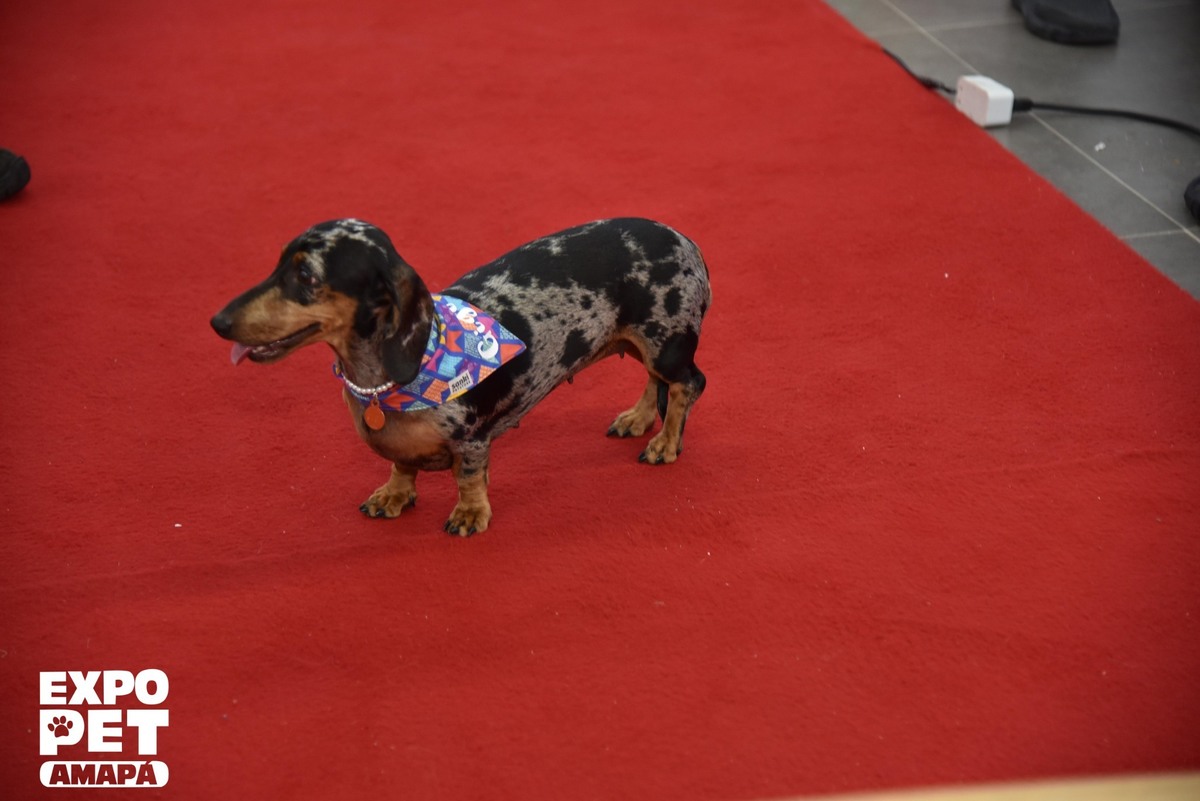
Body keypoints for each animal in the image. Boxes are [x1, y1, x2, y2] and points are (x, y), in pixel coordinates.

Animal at [211, 217, 711, 536]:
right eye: (278, 265)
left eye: (307, 277)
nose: (218, 322)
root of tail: (687, 242)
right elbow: (401, 463)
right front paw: (394, 494)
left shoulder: (472, 439)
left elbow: (468, 476)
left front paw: (470, 514)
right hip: (651, 345)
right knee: (657, 381)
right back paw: (638, 419)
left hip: (666, 343)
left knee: (687, 384)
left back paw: (665, 443)